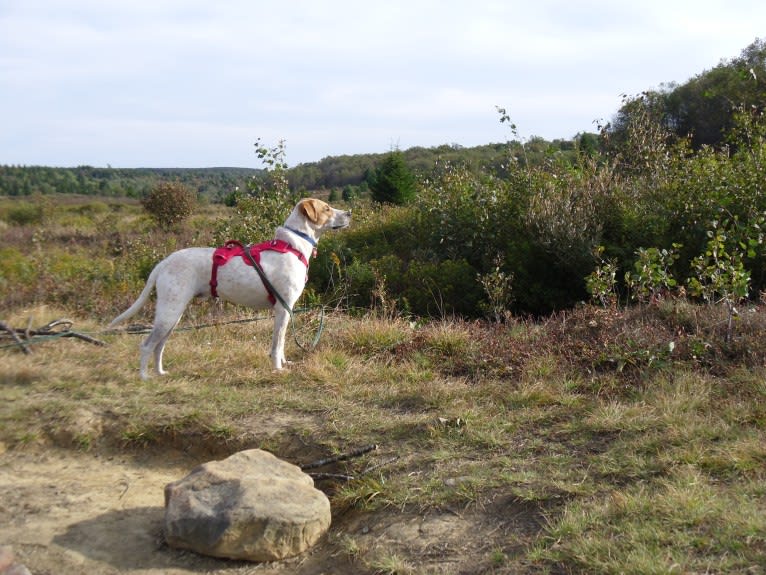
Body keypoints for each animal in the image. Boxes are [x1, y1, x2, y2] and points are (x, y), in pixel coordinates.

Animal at [109, 198, 352, 378]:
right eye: (327, 208)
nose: (349, 212)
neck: (292, 245)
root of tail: (164, 262)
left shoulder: (285, 310)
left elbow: (281, 344)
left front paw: (284, 362)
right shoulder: (283, 309)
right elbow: (277, 344)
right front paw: (277, 369)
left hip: (172, 315)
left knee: (159, 347)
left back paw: (160, 373)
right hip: (168, 313)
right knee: (146, 345)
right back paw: (144, 377)